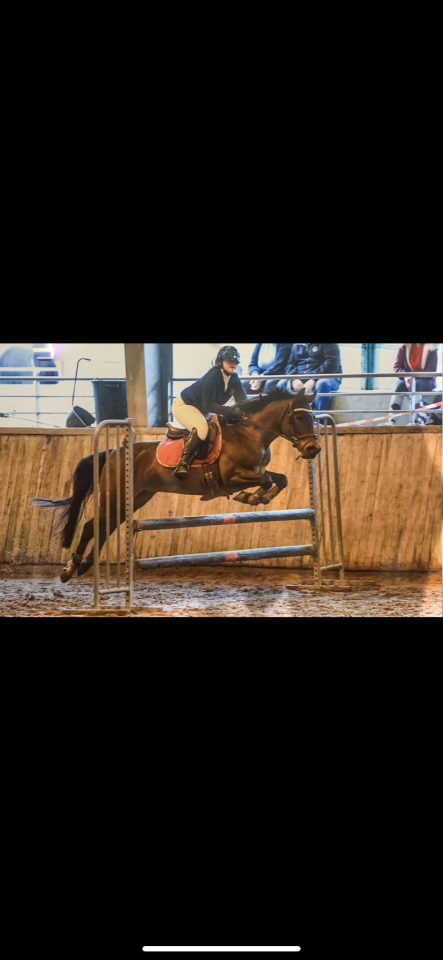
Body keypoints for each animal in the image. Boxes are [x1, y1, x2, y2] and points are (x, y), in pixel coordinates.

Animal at [33, 388, 321, 583]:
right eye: (299, 418)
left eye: (314, 418)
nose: (314, 450)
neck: (251, 433)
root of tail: (113, 452)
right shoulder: (231, 477)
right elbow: (268, 479)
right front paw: (250, 497)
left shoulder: (255, 472)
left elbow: (279, 479)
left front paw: (259, 497)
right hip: (115, 495)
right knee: (93, 526)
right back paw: (70, 570)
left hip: (136, 497)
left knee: (106, 527)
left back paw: (83, 566)